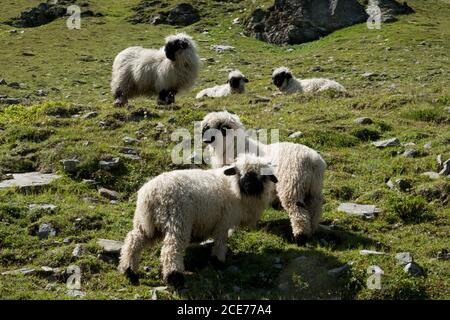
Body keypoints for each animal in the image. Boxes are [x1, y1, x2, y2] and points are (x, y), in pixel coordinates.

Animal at [116, 154, 278, 286]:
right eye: (240, 173)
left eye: (262, 176)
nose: (249, 186)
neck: (234, 187)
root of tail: (151, 194)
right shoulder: (223, 222)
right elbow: (220, 242)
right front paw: (218, 261)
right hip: (178, 220)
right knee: (171, 249)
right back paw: (174, 277)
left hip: (146, 223)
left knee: (133, 241)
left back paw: (129, 271)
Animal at [202, 111, 326, 244]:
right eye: (207, 127)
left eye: (220, 128)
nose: (205, 140)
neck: (233, 147)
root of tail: (313, 161)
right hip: (313, 190)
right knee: (314, 210)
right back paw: (312, 230)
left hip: (293, 186)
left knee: (298, 211)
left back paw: (300, 236)